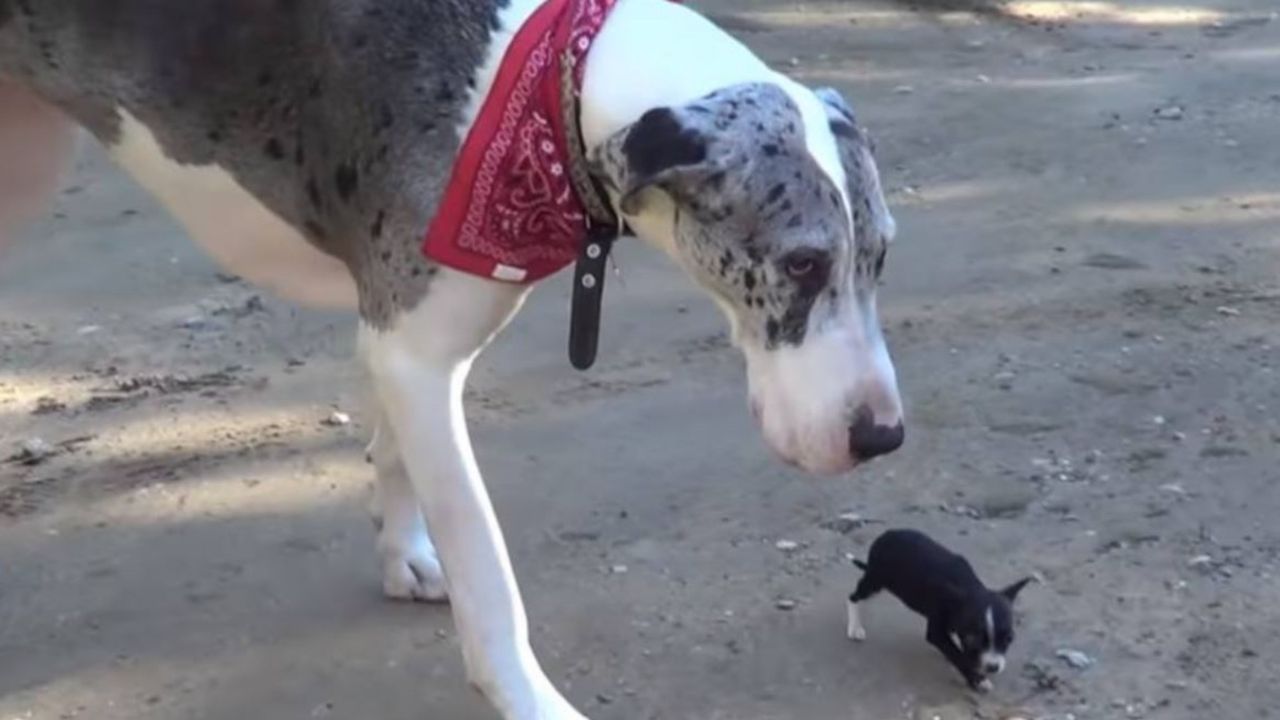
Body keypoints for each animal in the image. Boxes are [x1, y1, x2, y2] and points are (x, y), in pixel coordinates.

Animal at [2, 2, 901, 712]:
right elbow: (486, 568)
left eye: (882, 256)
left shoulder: (404, 339)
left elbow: (394, 451)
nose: (883, 437)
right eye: (802, 264)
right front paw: (528, 699)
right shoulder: (418, 354)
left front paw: (402, 553)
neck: (547, 85)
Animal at [849, 527, 1029, 691]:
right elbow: (956, 654)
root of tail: (885, 535)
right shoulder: (936, 632)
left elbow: (954, 648)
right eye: (973, 639)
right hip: (875, 580)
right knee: (853, 597)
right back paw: (854, 627)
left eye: (1009, 638)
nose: (993, 667)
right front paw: (977, 679)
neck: (966, 586)